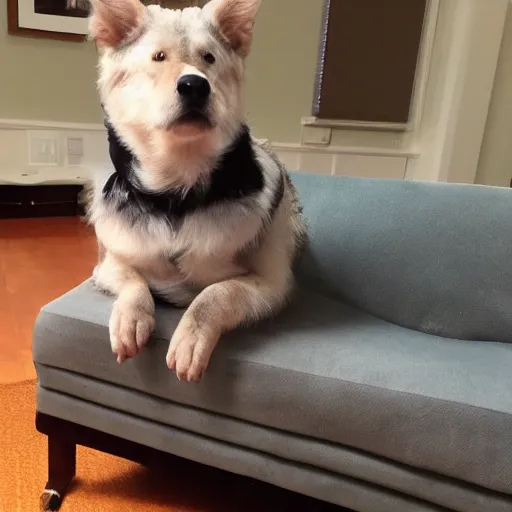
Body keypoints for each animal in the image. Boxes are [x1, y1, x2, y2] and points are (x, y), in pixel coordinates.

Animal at [86, 0, 306, 380]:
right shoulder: (107, 266)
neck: (177, 195)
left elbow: (215, 294)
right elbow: (134, 282)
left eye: (209, 58)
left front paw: (191, 339)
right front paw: (131, 318)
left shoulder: (272, 285)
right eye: (159, 57)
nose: (194, 86)